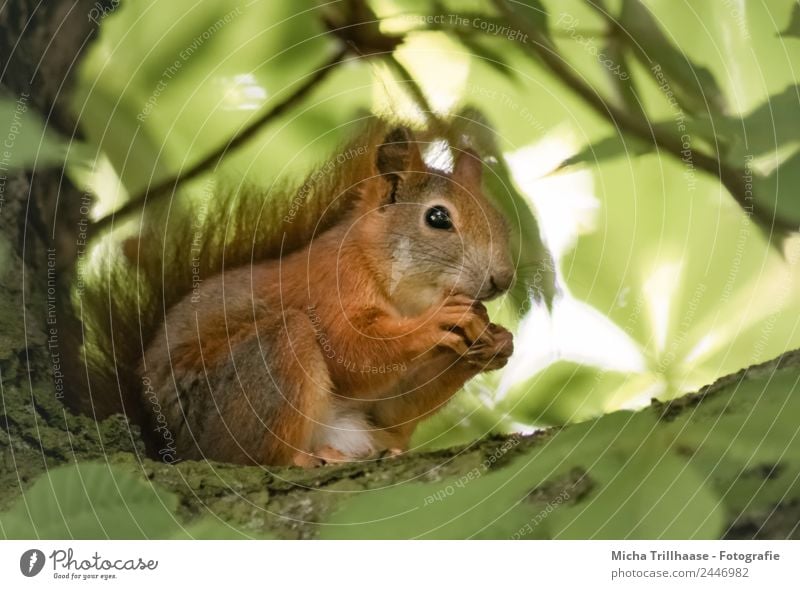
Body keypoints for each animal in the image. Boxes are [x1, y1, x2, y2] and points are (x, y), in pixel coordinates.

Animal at [140, 126, 516, 466]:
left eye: (501, 220)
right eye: (438, 217)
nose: (504, 278)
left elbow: (391, 406)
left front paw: (495, 342)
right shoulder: (329, 285)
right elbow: (349, 351)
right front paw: (437, 322)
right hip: (252, 380)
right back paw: (305, 459)